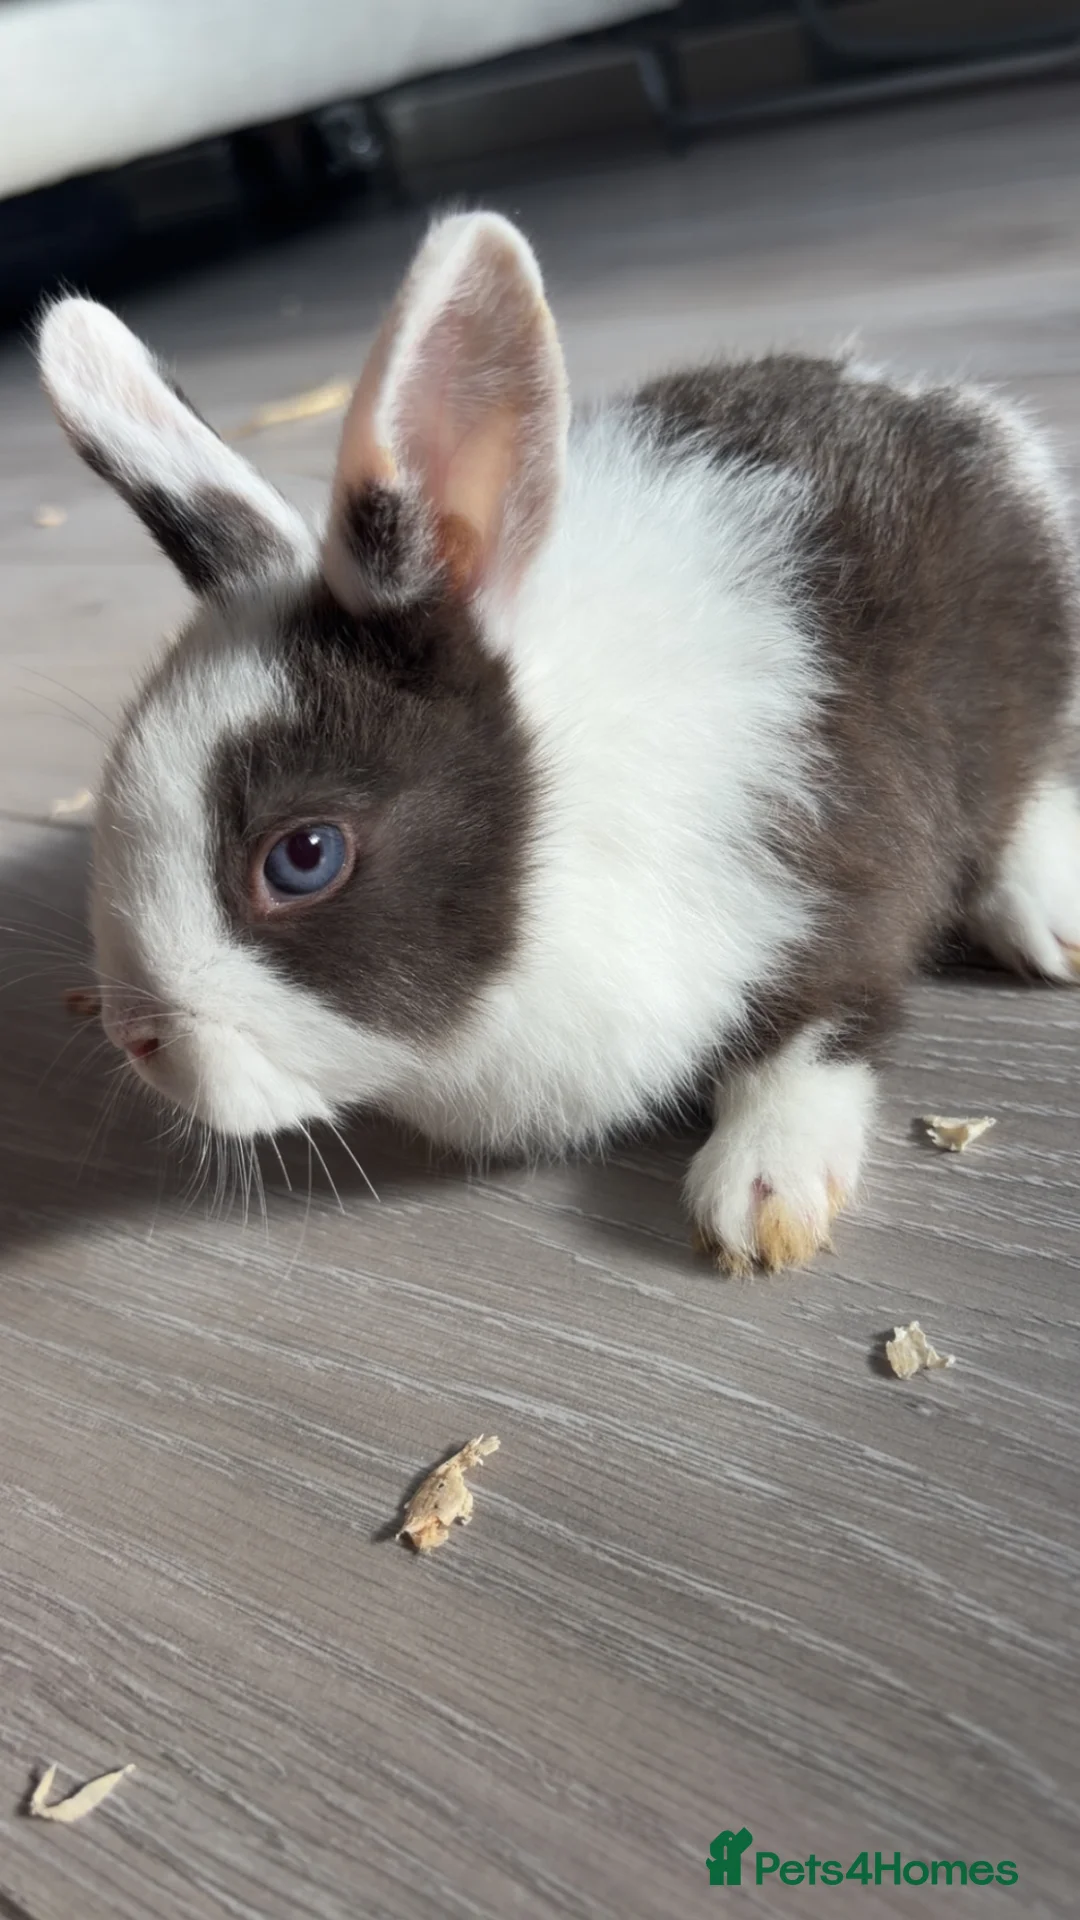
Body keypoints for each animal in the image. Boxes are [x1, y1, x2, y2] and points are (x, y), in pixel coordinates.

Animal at [36, 210, 1080, 1274]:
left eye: (304, 856)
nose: (137, 1042)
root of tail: (908, 395)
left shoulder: (839, 876)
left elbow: (820, 1030)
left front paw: (760, 1204)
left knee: (1031, 780)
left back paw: (1047, 915)